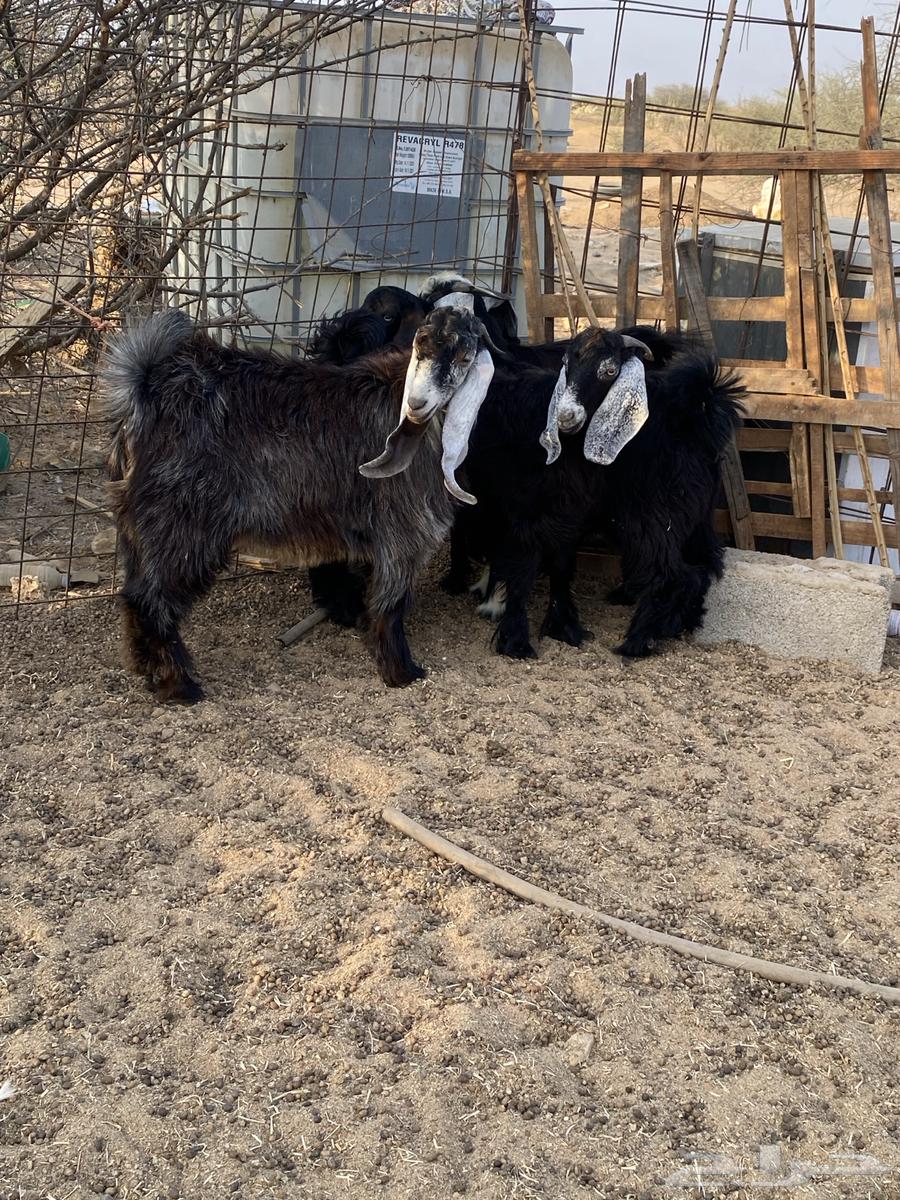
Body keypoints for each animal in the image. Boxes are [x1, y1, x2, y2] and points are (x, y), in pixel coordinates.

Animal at [101, 305, 493, 701]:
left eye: (465, 355)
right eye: (420, 347)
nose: (418, 404)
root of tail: (147, 387)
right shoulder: (406, 531)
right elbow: (391, 603)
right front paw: (400, 670)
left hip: (142, 533)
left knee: (133, 596)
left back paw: (144, 668)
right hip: (181, 528)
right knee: (150, 601)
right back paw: (178, 684)